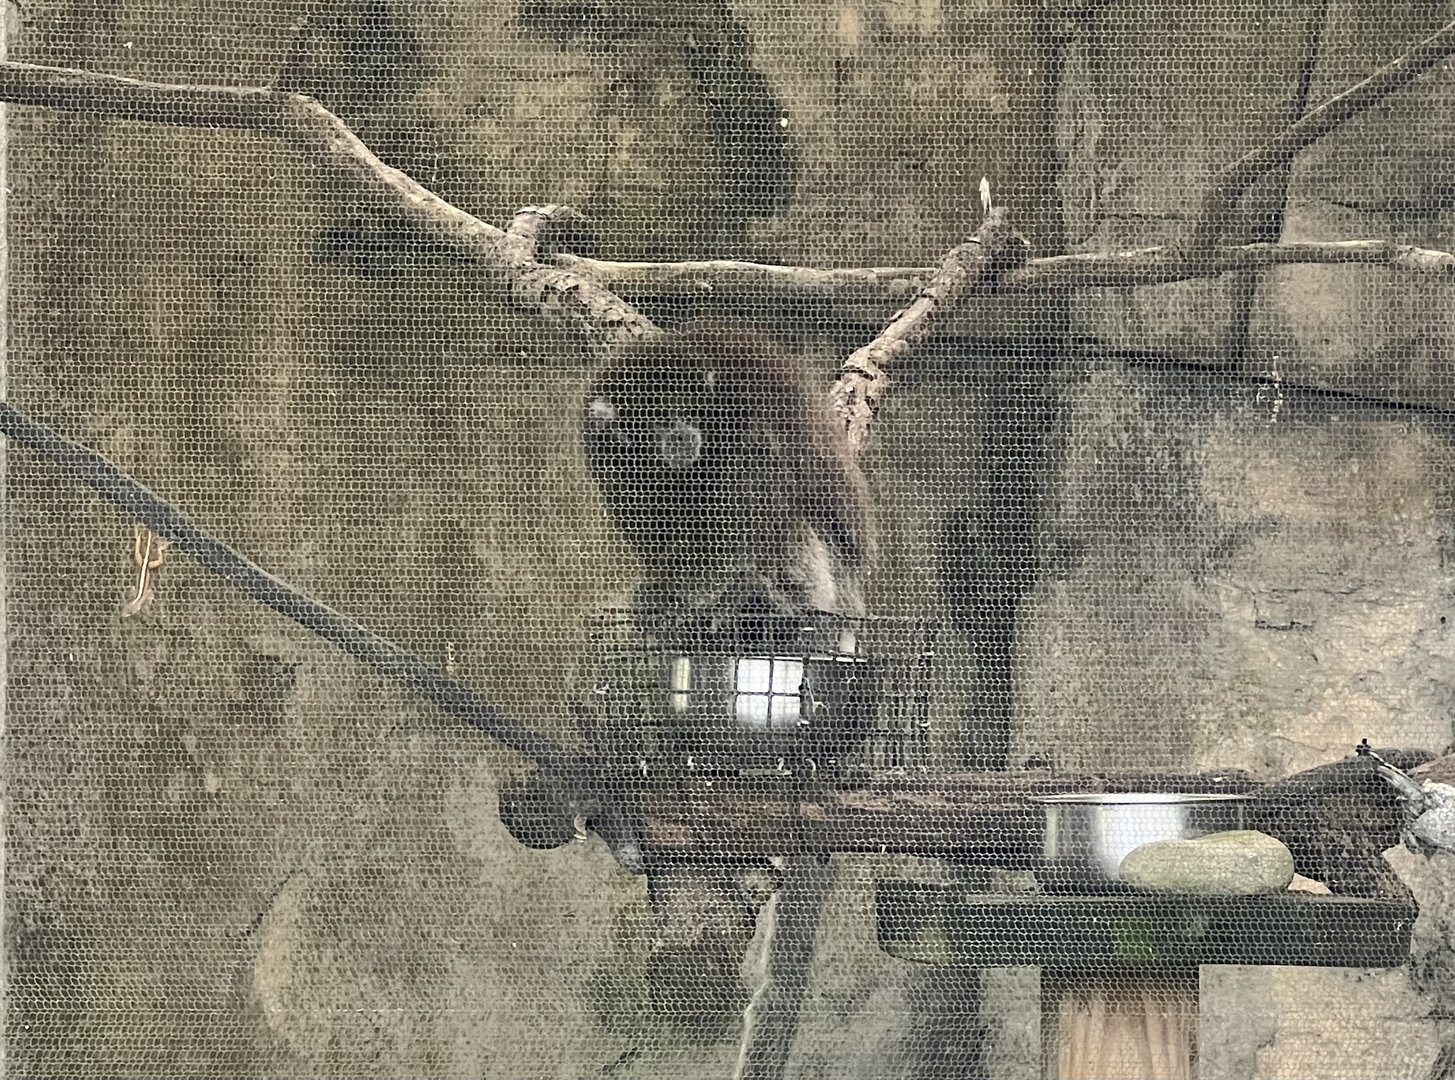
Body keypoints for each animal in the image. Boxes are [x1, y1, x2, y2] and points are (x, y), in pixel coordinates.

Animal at [583, 321, 875, 625]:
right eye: (657, 422)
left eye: (685, 410)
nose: (679, 434)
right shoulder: (601, 440)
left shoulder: (753, 376)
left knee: (755, 448)